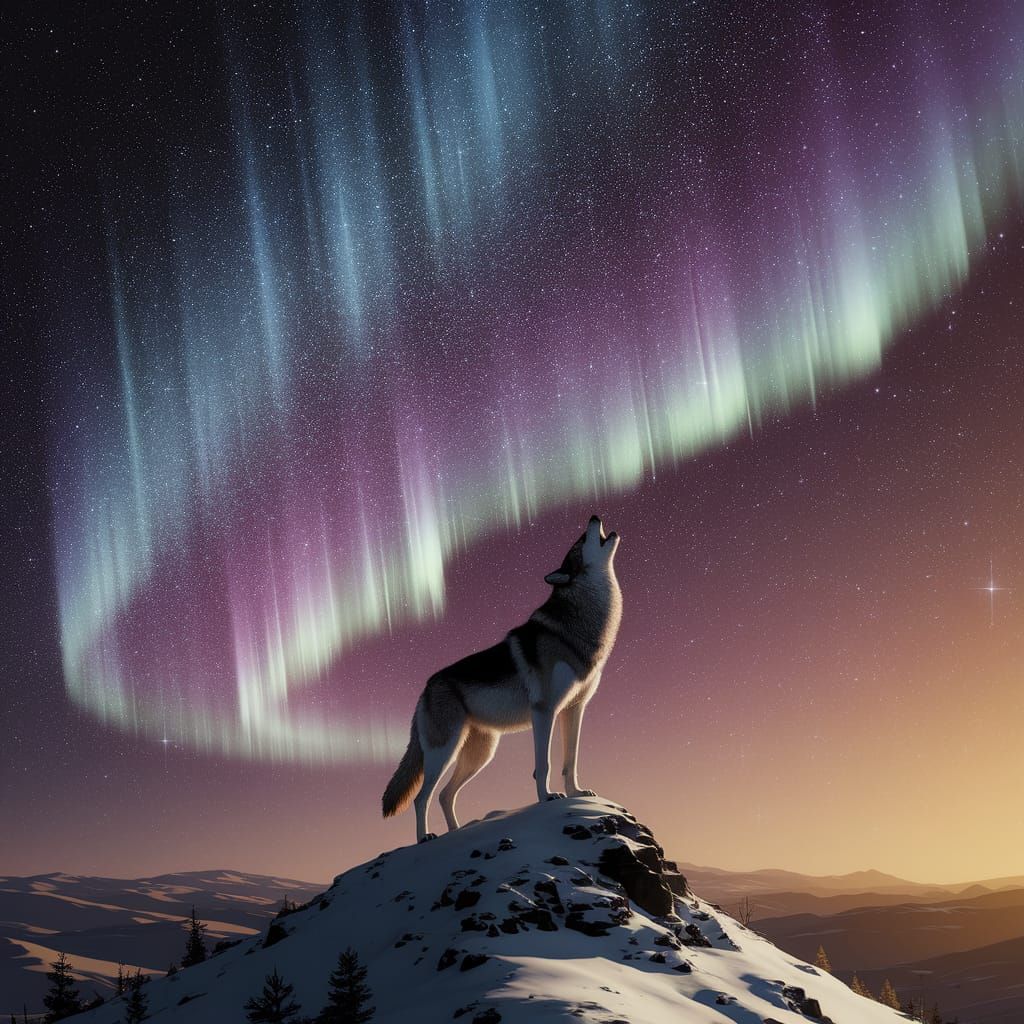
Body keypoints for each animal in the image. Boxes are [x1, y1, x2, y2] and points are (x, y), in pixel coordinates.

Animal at [382, 515, 622, 842]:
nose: (593, 517)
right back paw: (425, 838)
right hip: (443, 752)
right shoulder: (544, 711)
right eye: (580, 540)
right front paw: (547, 798)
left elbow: (570, 761)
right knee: (422, 798)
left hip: (480, 754)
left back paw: (457, 832)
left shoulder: (574, 709)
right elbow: (543, 764)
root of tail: (426, 687)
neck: (578, 624)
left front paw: (576, 793)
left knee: (445, 795)